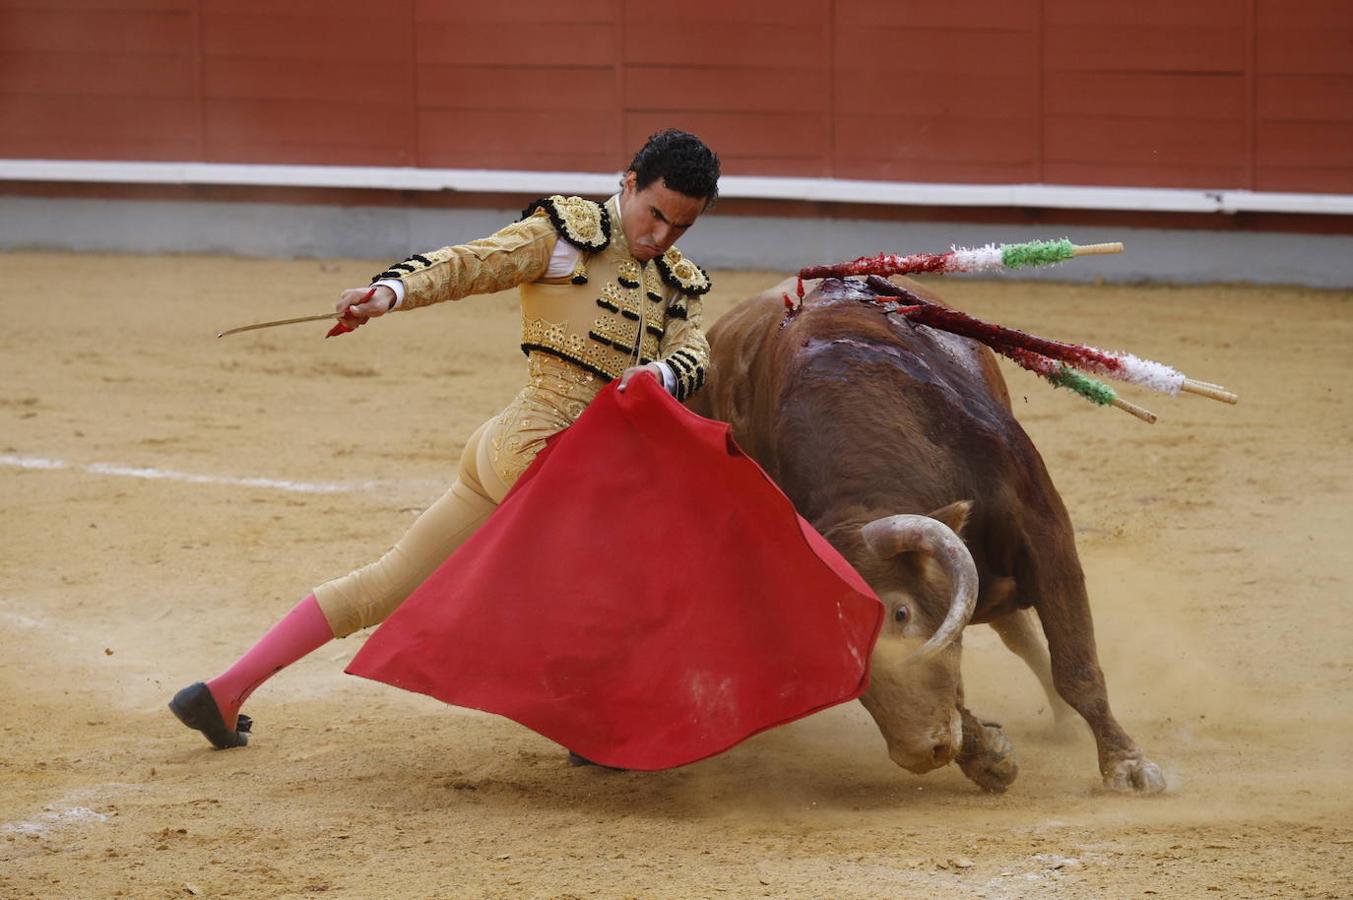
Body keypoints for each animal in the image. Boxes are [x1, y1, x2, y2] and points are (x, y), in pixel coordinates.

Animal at [692, 273, 1168, 795]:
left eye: (901, 613)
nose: (920, 754)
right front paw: (988, 756)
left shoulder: (1045, 531)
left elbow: (1076, 665)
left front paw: (1128, 765)